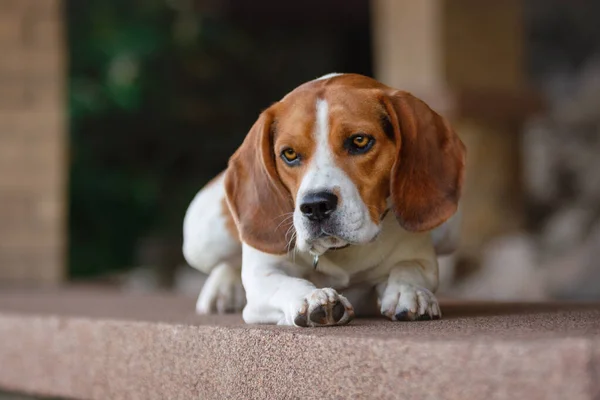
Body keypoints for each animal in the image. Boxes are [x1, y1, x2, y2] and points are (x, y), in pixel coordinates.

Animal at [182, 73, 464, 326]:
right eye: (289, 154)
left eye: (359, 140)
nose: (315, 206)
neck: (342, 252)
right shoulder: (263, 276)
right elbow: (284, 283)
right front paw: (310, 298)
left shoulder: (420, 258)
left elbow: (409, 268)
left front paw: (411, 292)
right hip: (201, 240)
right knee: (225, 263)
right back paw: (222, 289)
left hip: (449, 231)